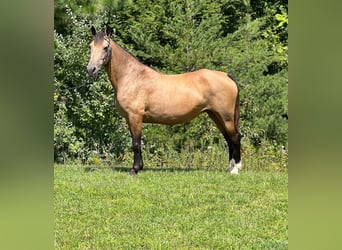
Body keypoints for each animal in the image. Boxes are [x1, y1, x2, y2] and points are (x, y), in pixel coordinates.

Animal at [85, 24, 242, 174]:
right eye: (90, 46)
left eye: (105, 47)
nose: (91, 69)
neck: (132, 77)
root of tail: (226, 75)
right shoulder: (130, 119)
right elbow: (136, 143)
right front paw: (140, 167)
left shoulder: (135, 116)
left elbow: (136, 144)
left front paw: (135, 169)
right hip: (216, 115)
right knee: (228, 138)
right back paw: (229, 167)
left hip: (225, 116)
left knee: (235, 137)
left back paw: (235, 169)